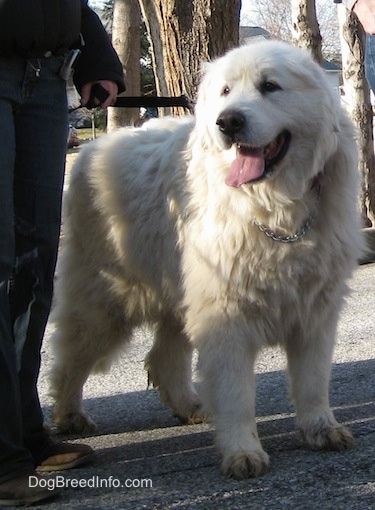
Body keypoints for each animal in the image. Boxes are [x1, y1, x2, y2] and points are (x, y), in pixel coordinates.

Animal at [50, 38, 364, 478]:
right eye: (226, 91)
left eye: (270, 86)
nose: (227, 122)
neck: (275, 209)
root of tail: (94, 146)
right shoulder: (225, 314)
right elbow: (236, 394)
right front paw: (242, 451)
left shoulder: (313, 311)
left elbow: (313, 382)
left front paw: (321, 429)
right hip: (104, 303)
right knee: (71, 357)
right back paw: (69, 416)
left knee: (163, 357)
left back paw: (190, 407)